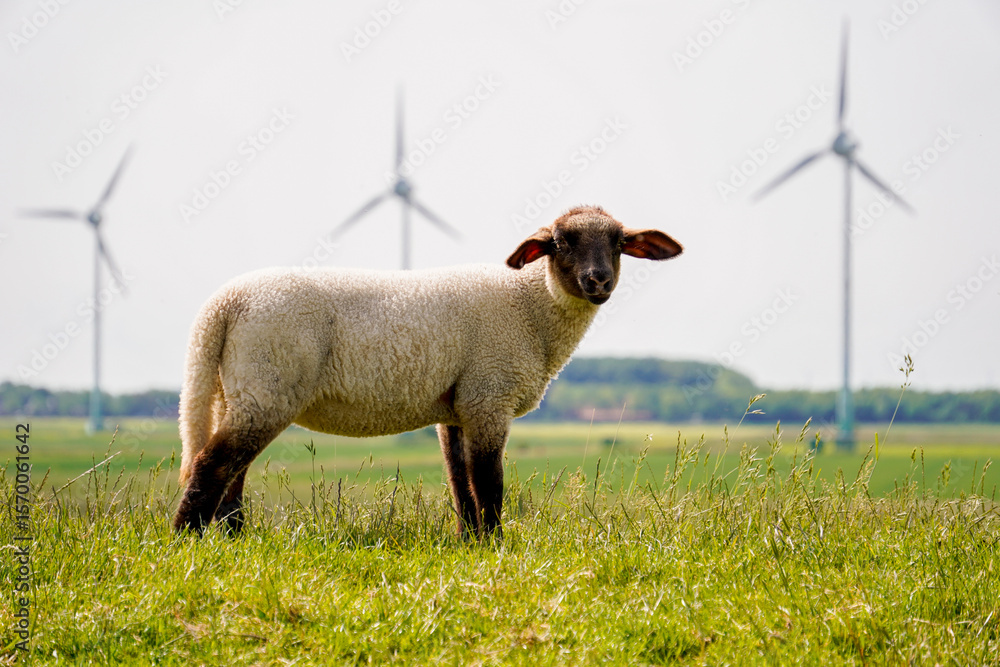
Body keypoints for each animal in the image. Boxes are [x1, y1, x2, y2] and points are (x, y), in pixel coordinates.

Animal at [173, 205, 683, 537]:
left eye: (619, 243)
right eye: (559, 243)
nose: (599, 281)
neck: (529, 309)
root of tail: (223, 305)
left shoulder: (457, 407)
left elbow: (461, 485)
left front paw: (471, 543)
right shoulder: (488, 395)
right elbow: (489, 482)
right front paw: (497, 547)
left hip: (240, 389)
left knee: (230, 472)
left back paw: (231, 540)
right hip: (268, 384)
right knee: (212, 464)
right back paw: (184, 542)